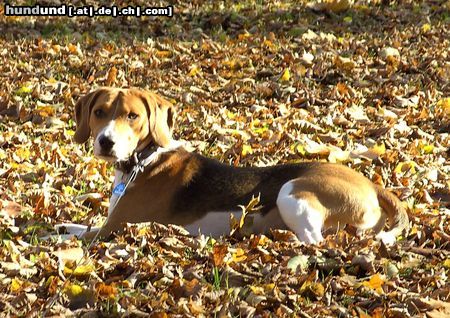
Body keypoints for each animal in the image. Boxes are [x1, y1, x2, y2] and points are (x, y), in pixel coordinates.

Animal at [51, 88, 408, 245]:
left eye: (132, 116)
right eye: (99, 112)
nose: (106, 142)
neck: (145, 158)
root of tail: (373, 185)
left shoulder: (111, 229)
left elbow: (64, 237)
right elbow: (67, 227)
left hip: (291, 193)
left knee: (316, 241)